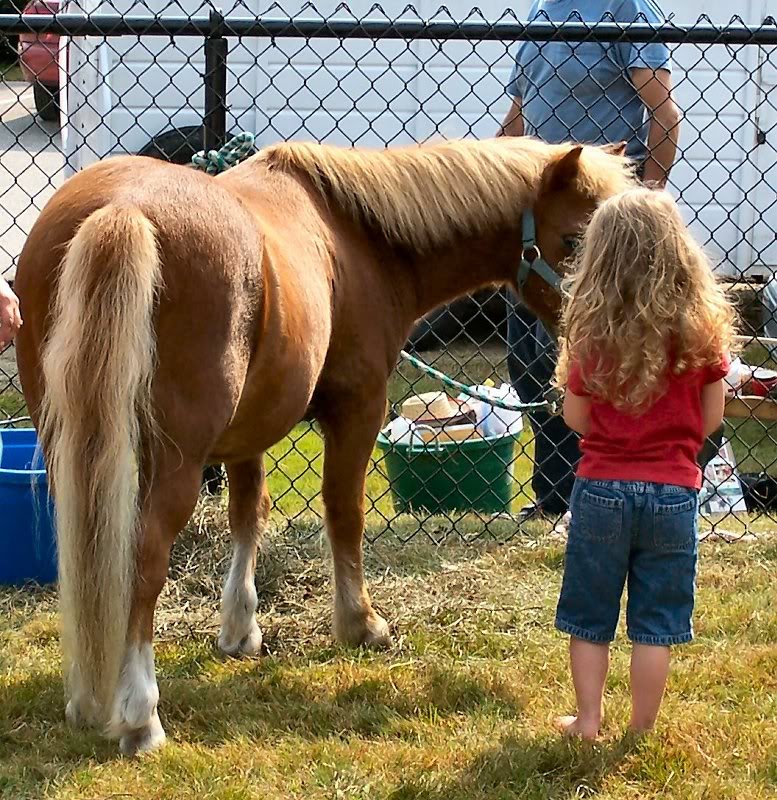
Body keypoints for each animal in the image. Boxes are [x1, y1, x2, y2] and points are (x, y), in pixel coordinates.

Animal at [13, 135, 633, 755]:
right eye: (573, 238)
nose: (599, 333)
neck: (358, 234)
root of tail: (121, 212)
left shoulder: (249, 429)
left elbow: (249, 514)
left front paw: (240, 631)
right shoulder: (357, 408)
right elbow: (344, 513)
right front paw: (361, 624)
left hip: (76, 448)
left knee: (90, 551)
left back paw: (88, 699)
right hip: (174, 461)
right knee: (142, 558)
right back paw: (140, 714)